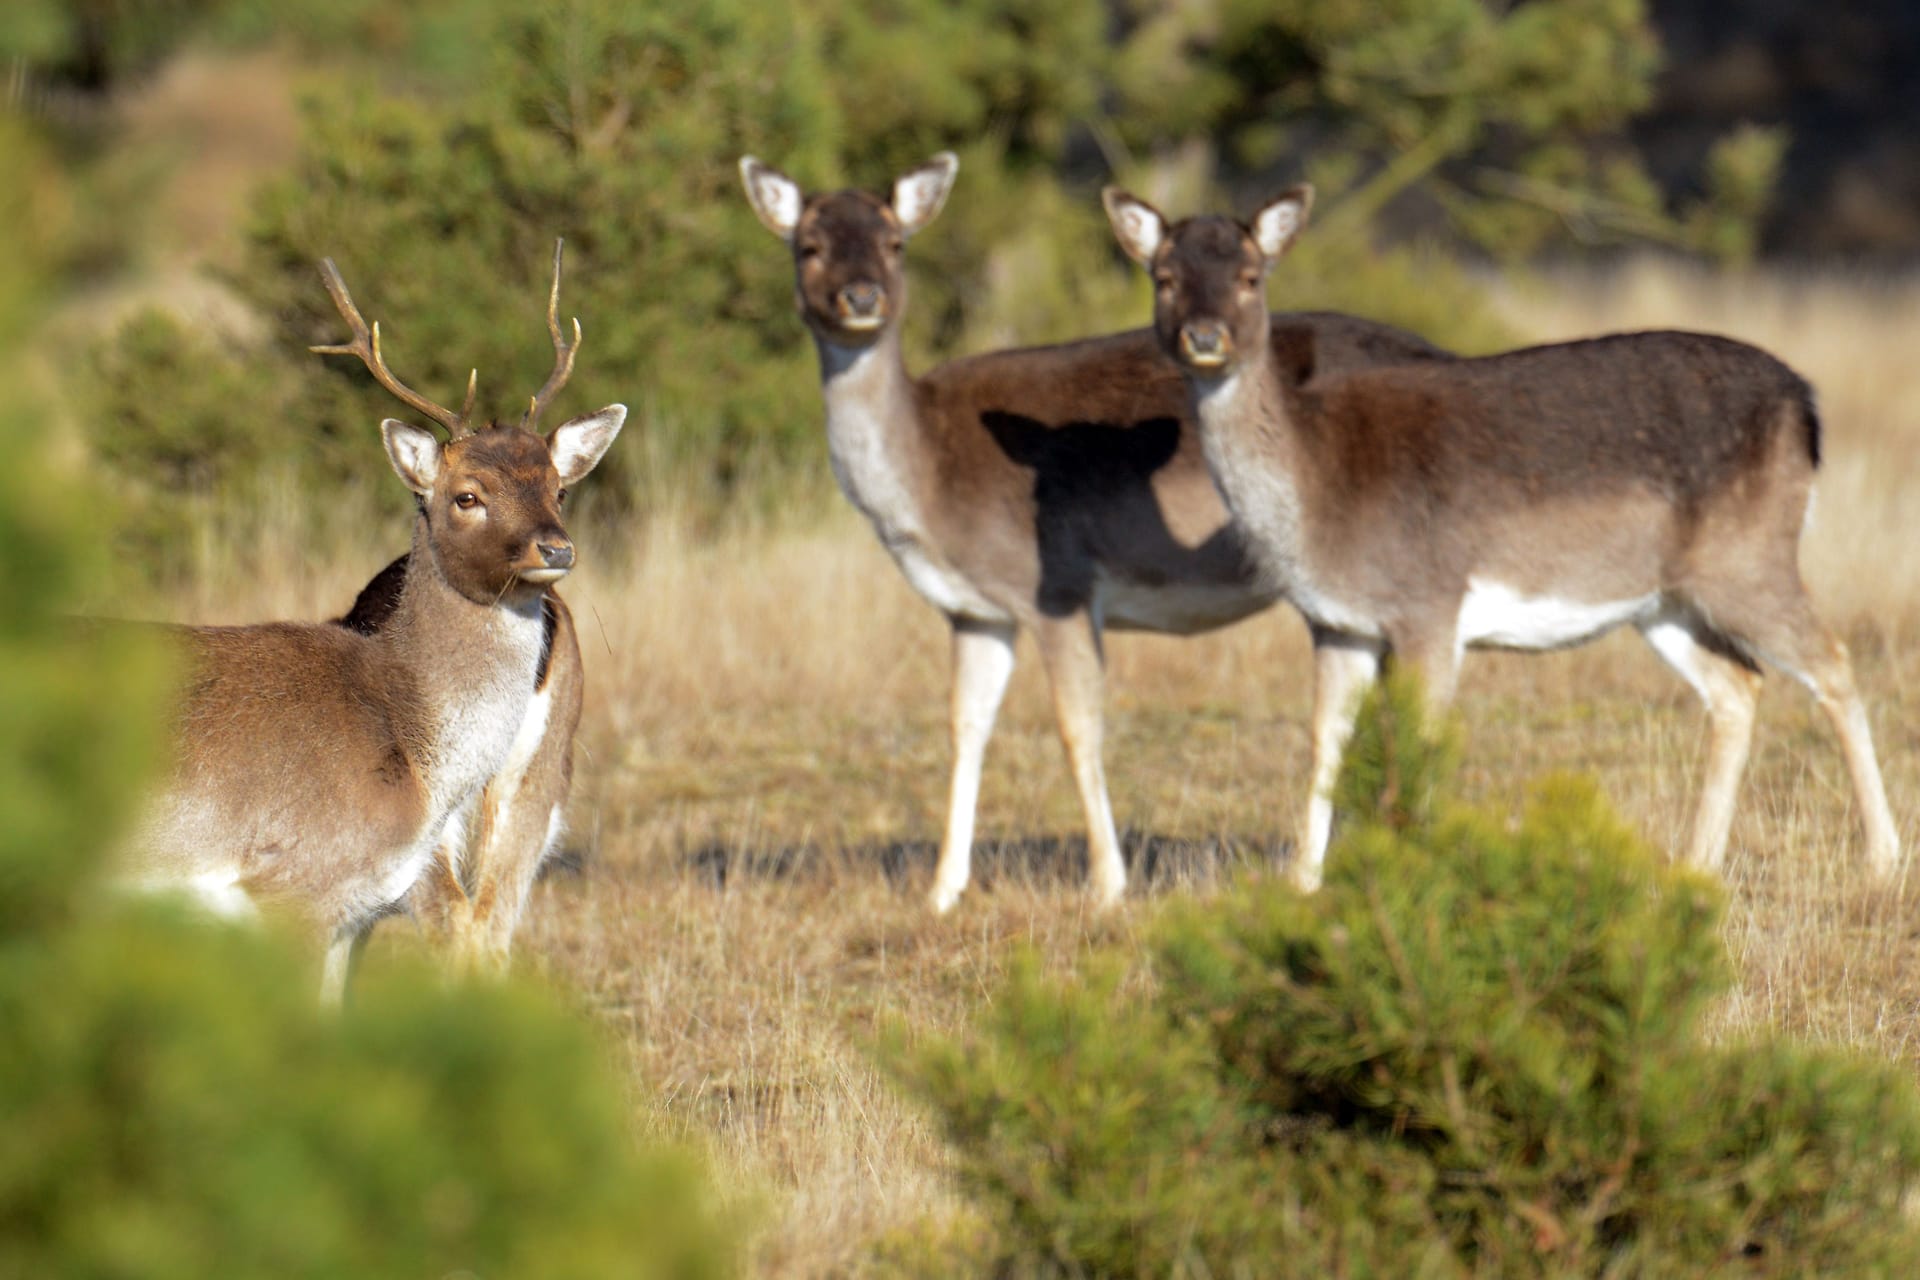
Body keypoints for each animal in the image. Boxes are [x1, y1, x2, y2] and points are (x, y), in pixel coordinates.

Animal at [741, 150, 1443, 909]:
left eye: (894, 242)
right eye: (808, 246)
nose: (862, 297)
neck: (930, 486)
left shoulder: (1059, 588)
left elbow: (1078, 728)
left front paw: (1108, 885)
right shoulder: (974, 610)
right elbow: (965, 726)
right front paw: (941, 891)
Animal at [1105, 185, 1896, 890]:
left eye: (1250, 276)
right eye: (1164, 277)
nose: (1205, 338)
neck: (1319, 490)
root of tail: (1806, 406)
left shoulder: (1428, 606)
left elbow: (1416, 747)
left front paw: (1414, 874)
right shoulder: (1336, 623)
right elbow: (1324, 743)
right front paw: (1303, 885)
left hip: (1749, 558)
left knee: (1832, 662)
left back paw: (1882, 859)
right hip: (1662, 601)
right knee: (1738, 685)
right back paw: (1696, 865)